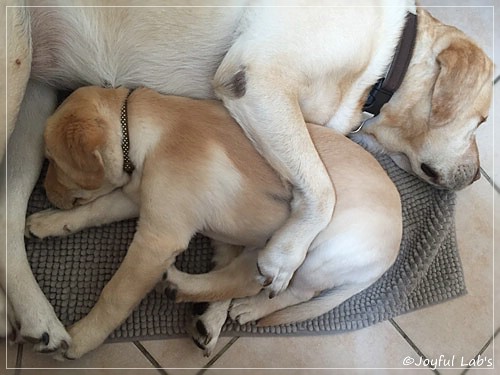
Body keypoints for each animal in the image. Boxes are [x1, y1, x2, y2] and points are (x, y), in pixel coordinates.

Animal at [26, 86, 402, 360]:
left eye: (51, 160)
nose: (43, 193)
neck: (142, 131)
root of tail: (392, 253)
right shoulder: (137, 199)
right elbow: (95, 210)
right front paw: (52, 222)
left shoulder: (159, 237)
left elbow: (116, 294)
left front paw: (82, 337)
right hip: (251, 244)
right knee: (236, 276)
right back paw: (197, 304)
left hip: (313, 252)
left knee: (285, 291)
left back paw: (240, 305)